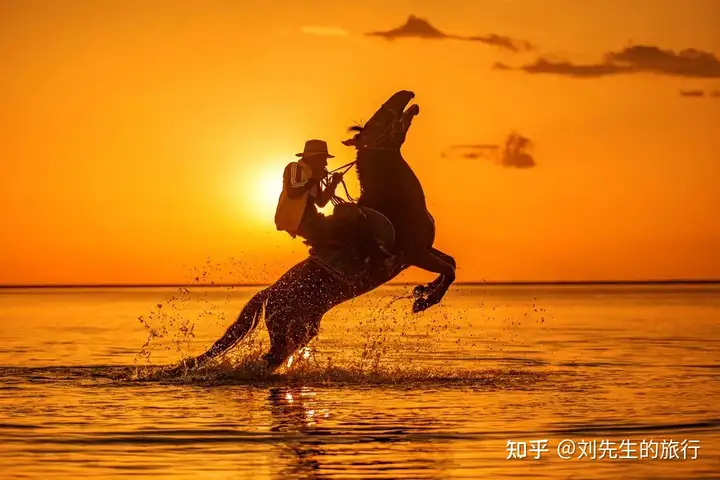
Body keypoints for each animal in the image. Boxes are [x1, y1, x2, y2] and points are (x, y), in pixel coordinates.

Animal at [185, 91, 456, 373]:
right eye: (374, 123)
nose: (407, 95)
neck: (394, 203)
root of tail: (270, 292)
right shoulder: (413, 253)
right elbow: (450, 270)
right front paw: (422, 302)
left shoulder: (424, 250)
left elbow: (450, 263)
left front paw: (422, 290)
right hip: (288, 330)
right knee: (270, 360)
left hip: (302, 331)